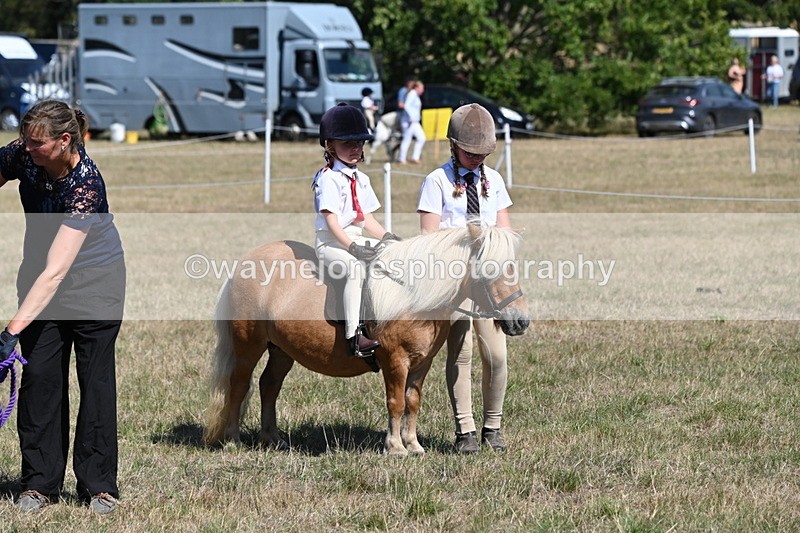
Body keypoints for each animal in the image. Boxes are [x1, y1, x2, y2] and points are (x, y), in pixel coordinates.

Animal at [203, 224, 530, 456]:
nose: (520, 321)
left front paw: (413, 445)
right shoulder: (395, 360)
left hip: (282, 349)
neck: (412, 294)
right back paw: (232, 440)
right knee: (239, 385)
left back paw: (273, 439)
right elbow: (396, 402)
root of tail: (244, 262)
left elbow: (413, 402)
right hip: (248, 344)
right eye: (490, 270)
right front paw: (395, 447)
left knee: (268, 385)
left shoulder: (421, 363)